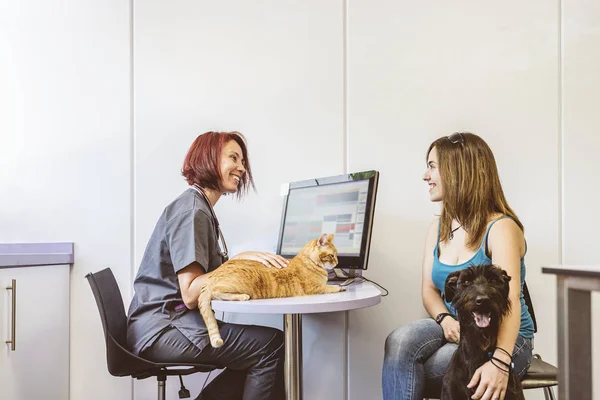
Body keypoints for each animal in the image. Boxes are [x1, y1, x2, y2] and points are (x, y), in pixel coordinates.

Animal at [199, 233, 344, 348]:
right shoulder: (315, 288)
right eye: (332, 255)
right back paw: (242, 296)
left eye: (336, 255)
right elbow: (330, 287)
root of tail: (211, 277)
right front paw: (340, 287)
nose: (337, 262)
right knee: (216, 292)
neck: (309, 261)